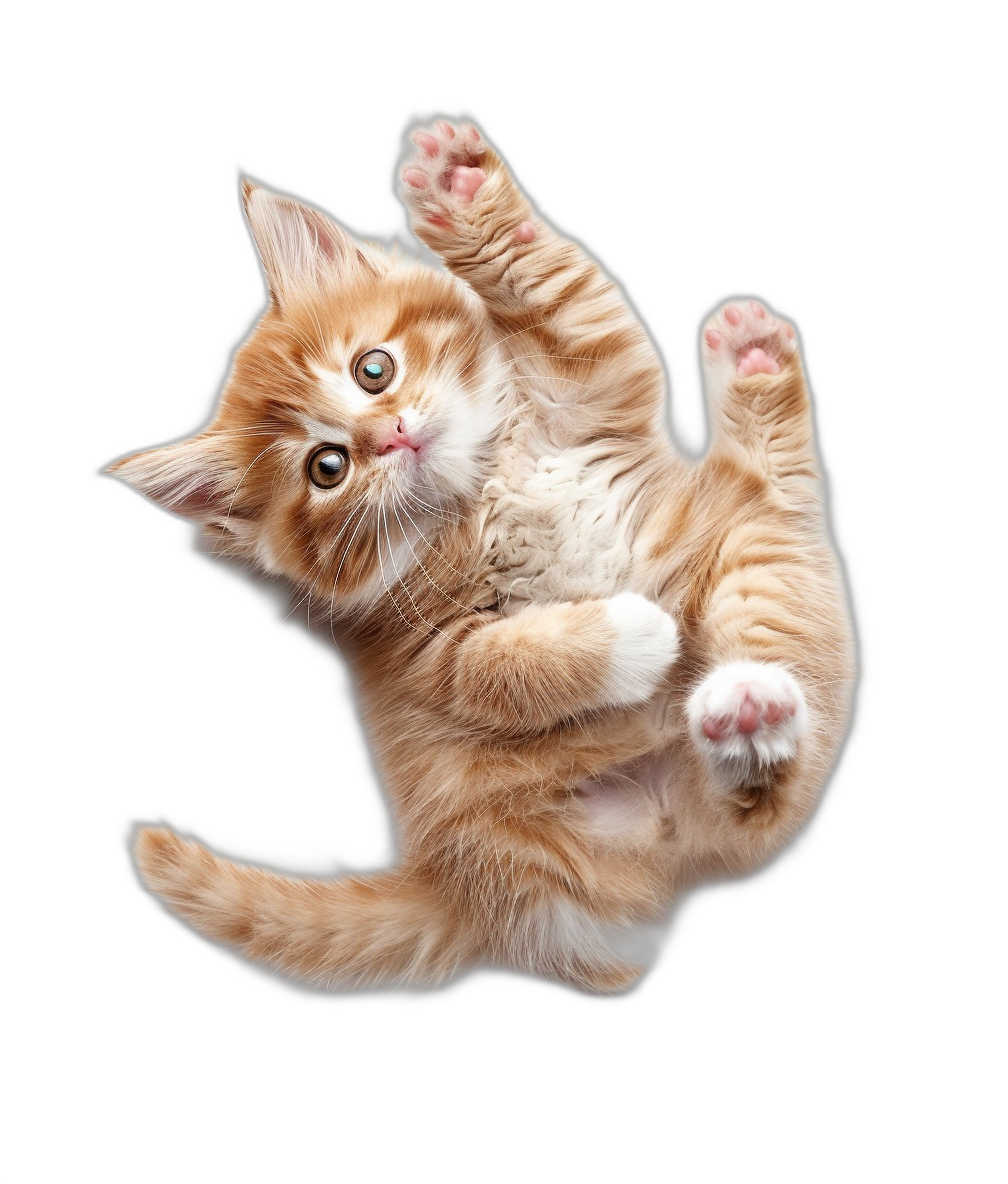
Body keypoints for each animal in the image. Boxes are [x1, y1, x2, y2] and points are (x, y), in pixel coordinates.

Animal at [104, 115, 857, 994]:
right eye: (328, 468)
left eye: (373, 368)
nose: (391, 436)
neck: (482, 486)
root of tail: (454, 887)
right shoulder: (420, 651)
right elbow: (509, 668)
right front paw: (635, 633)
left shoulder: (593, 373)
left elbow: (561, 288)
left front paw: (458, 187)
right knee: (743, 804)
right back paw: (741, 718)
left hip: (757, 551)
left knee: (777, 532)